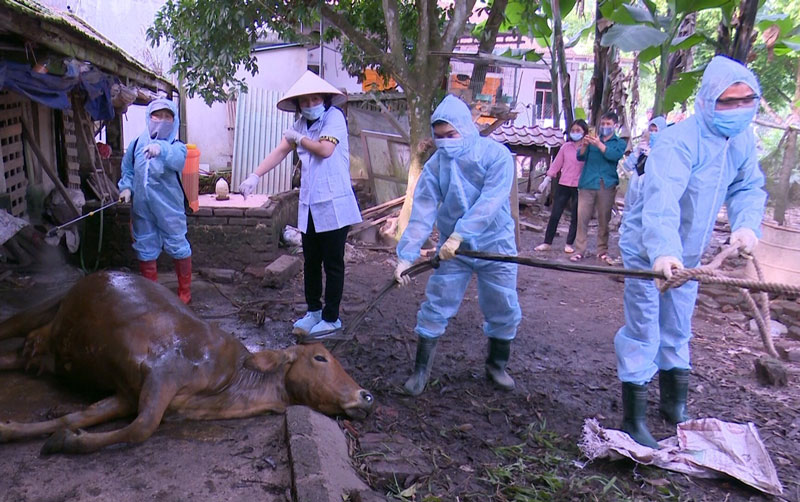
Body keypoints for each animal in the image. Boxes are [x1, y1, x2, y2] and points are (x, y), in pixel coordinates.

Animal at [0, 270, 376, 454]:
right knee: (12, 322)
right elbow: (142, 427)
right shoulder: (162, 372)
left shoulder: (126, 394)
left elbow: (78, 416)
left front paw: (27, 431)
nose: (367, 396)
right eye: (320, 357)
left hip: (41, 349)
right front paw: (68, 442)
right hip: (46, 305)